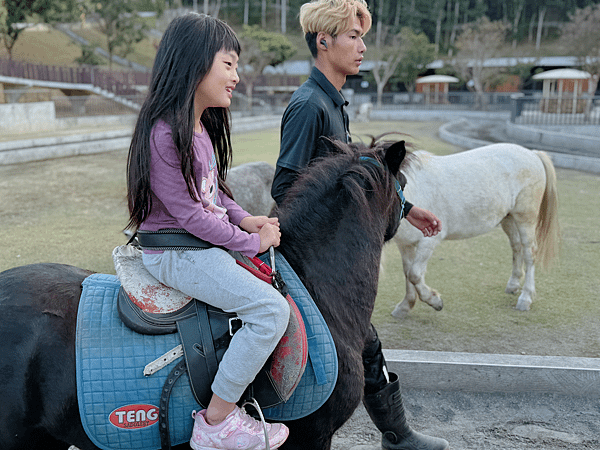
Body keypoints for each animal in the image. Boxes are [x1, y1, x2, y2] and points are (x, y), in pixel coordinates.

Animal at [392, 142, 560, 318]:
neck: (414, 191)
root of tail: (533, 154)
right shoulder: (405, 245)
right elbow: (407, 273)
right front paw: (405, 306)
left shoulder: (429, 241)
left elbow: (414, 274)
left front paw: (435, 301)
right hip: (508, 218)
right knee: (516, 246)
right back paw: (513, 285)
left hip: (525, 218)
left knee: (529, 252)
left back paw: (525, 298)